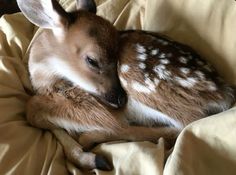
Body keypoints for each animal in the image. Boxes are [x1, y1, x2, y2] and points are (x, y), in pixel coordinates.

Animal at [17, 0, 235, 171]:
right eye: (92, 60)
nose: (120, 99)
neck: (49, 82)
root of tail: (225, 92)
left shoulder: (93, 106)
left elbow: (32, 109)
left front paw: (89, 155)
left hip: (141, 80)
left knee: (185, 124)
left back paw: (92, 139)